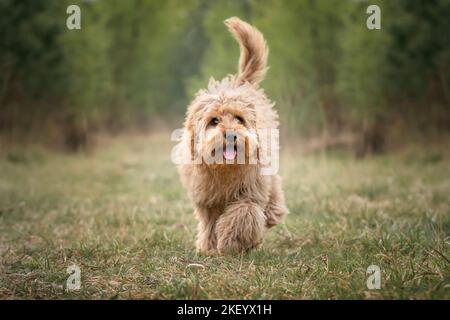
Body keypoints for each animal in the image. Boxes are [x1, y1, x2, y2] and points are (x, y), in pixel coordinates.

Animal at [177, 17, 288, 254]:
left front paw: (232, 242)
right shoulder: (206, 199)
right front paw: (209, 246)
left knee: (273, 190)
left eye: (239, 118)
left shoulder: (250, 191)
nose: (230, 135)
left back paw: (273, 213)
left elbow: (242, 215)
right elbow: (210, 222)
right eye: (214, 121)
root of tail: (239, 83)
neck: (225, 170)